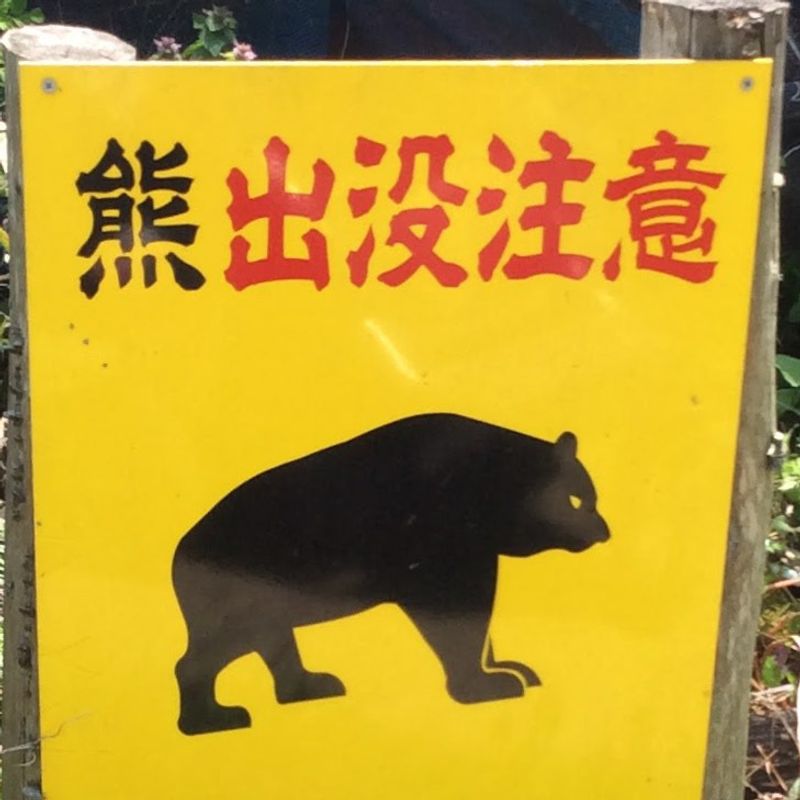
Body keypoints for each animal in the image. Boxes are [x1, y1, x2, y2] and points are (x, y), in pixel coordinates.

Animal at [172, 413, 610, 735]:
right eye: (576, 499)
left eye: (591, 497)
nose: (604, 532)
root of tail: (178, 554)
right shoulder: (440, 551)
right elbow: (455, 616)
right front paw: (485, 685)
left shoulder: (476, 552)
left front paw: (508, 668)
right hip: (240, 597)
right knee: (208, 653)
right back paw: (212, 719)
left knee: (274, 642)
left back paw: (310, 686)